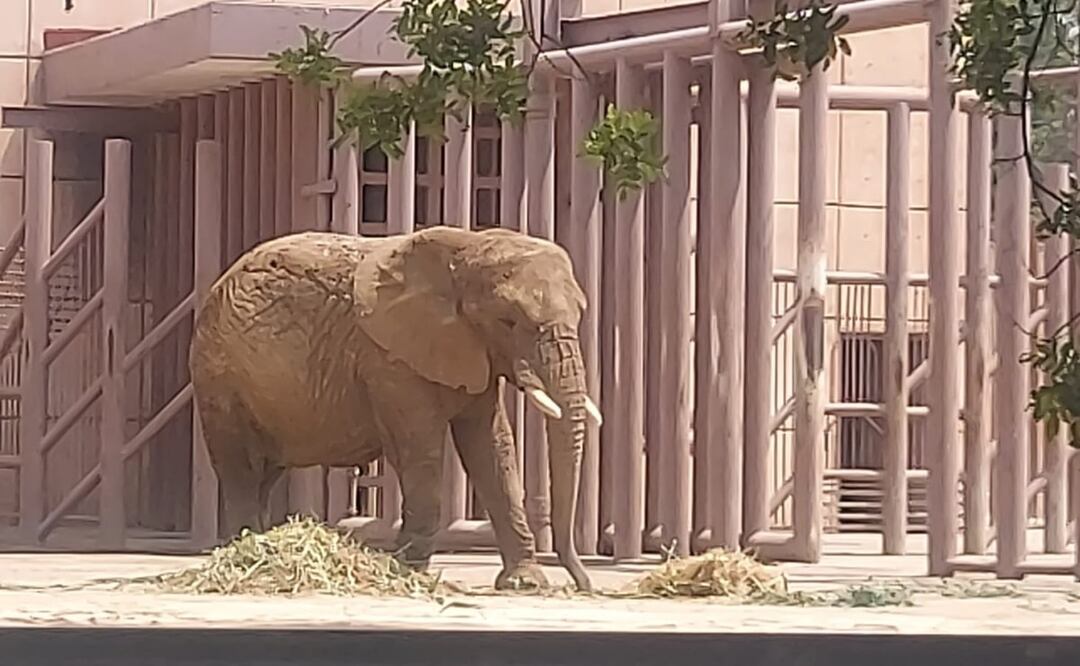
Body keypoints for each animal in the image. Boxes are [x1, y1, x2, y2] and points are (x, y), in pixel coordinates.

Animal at [188, 225, 601, 592]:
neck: (467, 247)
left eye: (582, 312)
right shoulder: (389, 359)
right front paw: (405, 571)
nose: (583, 585)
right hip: (220, 378)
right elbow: (421, 449)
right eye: (508, 320)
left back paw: (253, 548)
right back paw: (247, 551)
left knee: (265, 471)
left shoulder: (472, 352)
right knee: (241, 468)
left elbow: (491, 449)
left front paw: (524, 584)